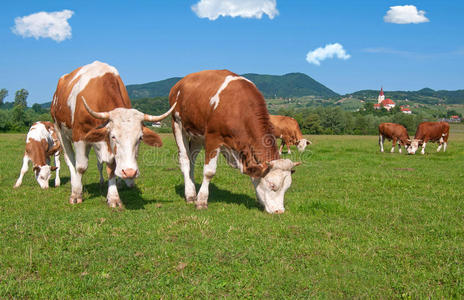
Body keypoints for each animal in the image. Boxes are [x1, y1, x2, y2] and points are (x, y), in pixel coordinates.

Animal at [49, 61, 175, 206]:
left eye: (140, 138)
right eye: (113, 136)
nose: (130, 172)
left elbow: (111, 167)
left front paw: (113, 197)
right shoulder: (79, 135)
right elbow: (81, 167)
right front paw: (76, 194)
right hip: (60, 132)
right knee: (70, 161)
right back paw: (75, 184)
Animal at [169, 69, 300, 214]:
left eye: (287, 188)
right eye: (272, 185)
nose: (279, 211)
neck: (239, 107)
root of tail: (180, 83)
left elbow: (253, 174)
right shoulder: (213, 138)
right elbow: (209, 172)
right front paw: (202, 201)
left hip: (197, 134)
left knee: (192, 159)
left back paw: (192, 191)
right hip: (177, 124)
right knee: (185, 160)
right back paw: (190, 195)